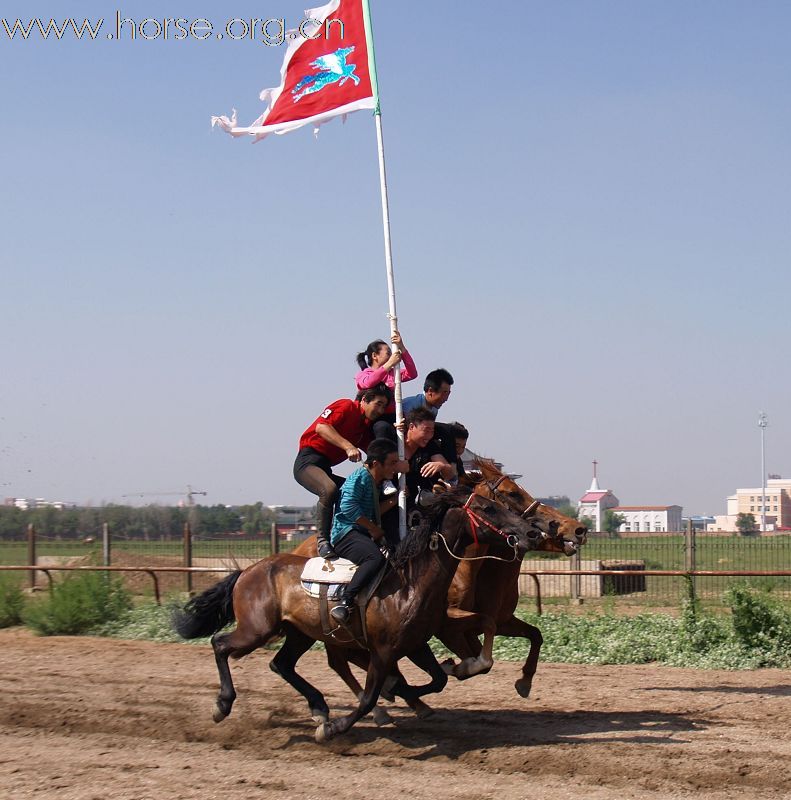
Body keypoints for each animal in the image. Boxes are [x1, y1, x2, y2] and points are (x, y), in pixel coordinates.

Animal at [173, 488, 544, 744]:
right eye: (488, 507)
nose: (530, 533)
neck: (410, 583)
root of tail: (248, 571)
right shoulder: (383, 650)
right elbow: (368, 698)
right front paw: (336, 728)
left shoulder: (417, 641)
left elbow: (439, 677)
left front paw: (424, 682)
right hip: (257, 629)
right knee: (220, 644)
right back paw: (223, 705)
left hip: (299, 633)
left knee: (281, 664)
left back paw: (318, 707)